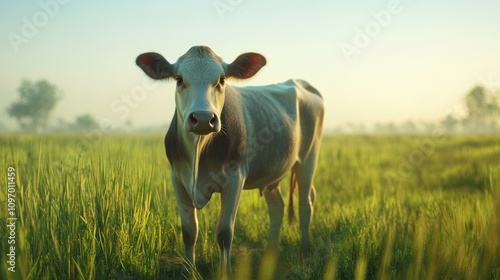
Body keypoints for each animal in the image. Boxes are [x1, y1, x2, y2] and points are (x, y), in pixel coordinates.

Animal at [136, 46, 324, 276]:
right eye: (179, 79)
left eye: (222, 80)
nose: (202, 118)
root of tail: (299, 82)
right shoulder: (177, 179)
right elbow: (189, 231)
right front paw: (189, 271)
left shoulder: (235, 178)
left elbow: (224, 232)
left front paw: (225, 272)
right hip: (274, 170)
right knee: (277, 207)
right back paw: (270, 252)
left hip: (309, 157)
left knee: (306, 202)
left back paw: (305, 249)